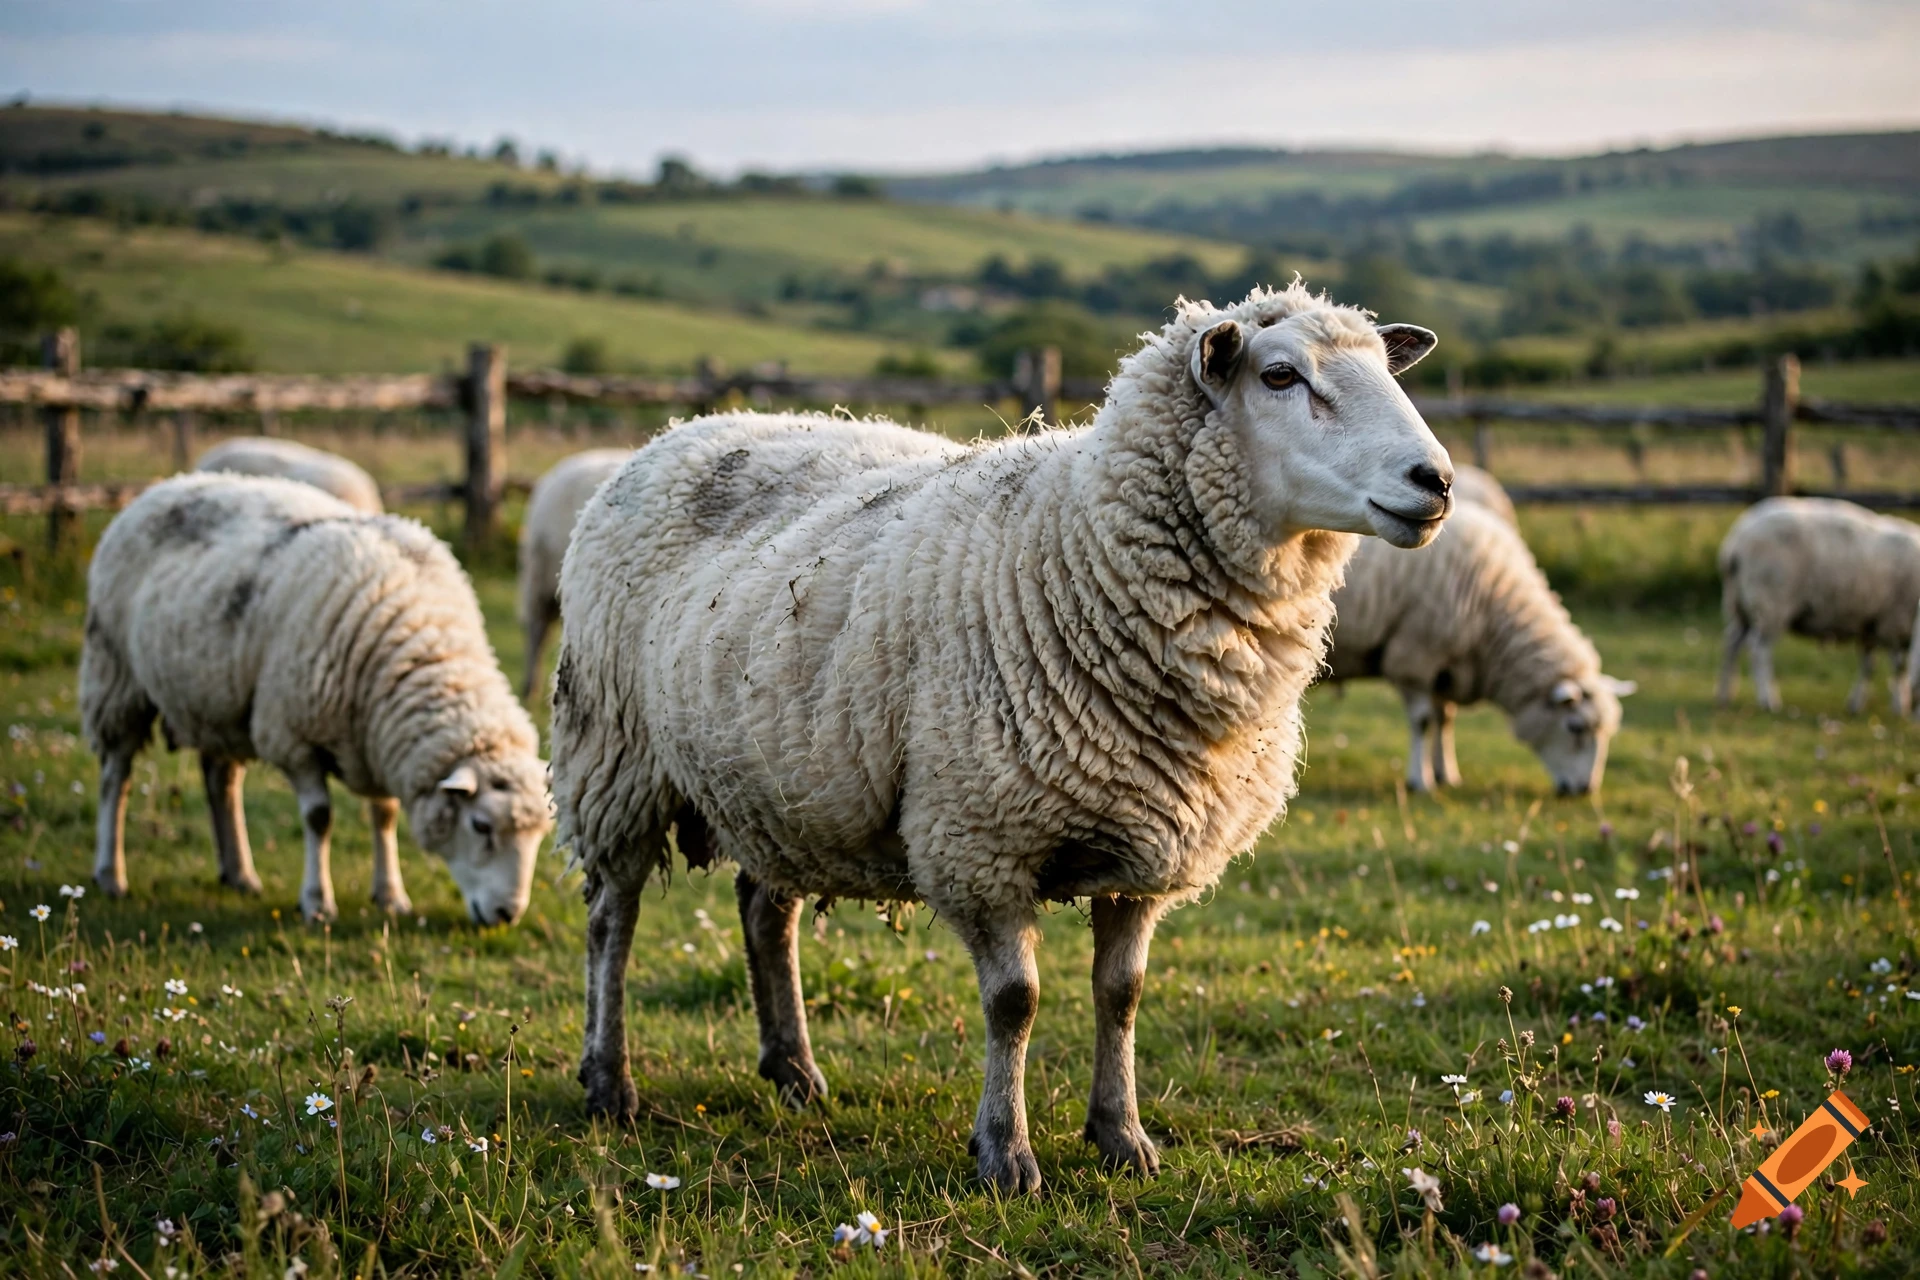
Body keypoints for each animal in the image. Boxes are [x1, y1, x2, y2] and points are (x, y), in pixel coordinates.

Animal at [82, 473, 551, 924]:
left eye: (539, 835)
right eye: (481, 825)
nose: (507, 915)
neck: (420, 646)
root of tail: (161, 485)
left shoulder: (374, 739)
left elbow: (384, 815)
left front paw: (391, 896)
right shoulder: (293, 737)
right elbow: (319, 818)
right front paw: (317, 902)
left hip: (218, 700)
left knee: (221, 780)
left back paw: (240, 874)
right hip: (115, 675)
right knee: (115, 777)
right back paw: (110, 874)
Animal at [549, 284, 1455, 1192]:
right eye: (1279, 376)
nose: (1437, 480)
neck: (1078, 553)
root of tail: (684, 428)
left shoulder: (1148, 843)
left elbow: (1122, 993)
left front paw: (1122, 1136)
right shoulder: (979, 839)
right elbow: (1015, 1002)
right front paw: (1006, 1154)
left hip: (785, 778)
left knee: (765, 910)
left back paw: (794, 1069)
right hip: (615, 758)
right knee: (611, 920)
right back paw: (610, 1081)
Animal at [1323, 502, 1633, 795]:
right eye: (1575, 727)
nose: (1585, 790)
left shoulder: (1445, 665)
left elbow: (1444, 720)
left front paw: (1447, 775)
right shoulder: (1415, 658)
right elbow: (1423, 722)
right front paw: (1420, 781)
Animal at [1718, 497, 1920, 714]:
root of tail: (1735, 542)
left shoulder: (1871, 624)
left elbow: (1868, 665)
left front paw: (1856, 703)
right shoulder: (1894, 622)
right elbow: (1899, 667)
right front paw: (1900, 706)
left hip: (1740, 605)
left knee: (1732, 642)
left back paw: (1725, 694)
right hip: (1771, 603)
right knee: (1758, 649)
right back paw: (1768, 700)